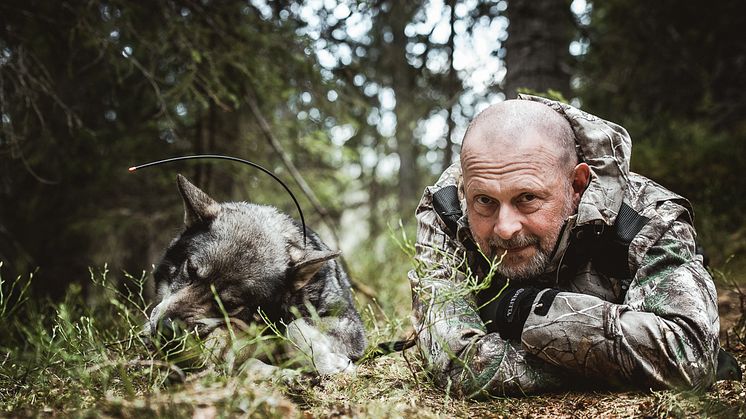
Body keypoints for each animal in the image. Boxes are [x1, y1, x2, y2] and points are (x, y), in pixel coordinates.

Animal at [146, 175, 366, 378]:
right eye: (190, 270)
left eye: (229, 305)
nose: (166, 328)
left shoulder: (351, 325)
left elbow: (295, 326)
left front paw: (325, 362)